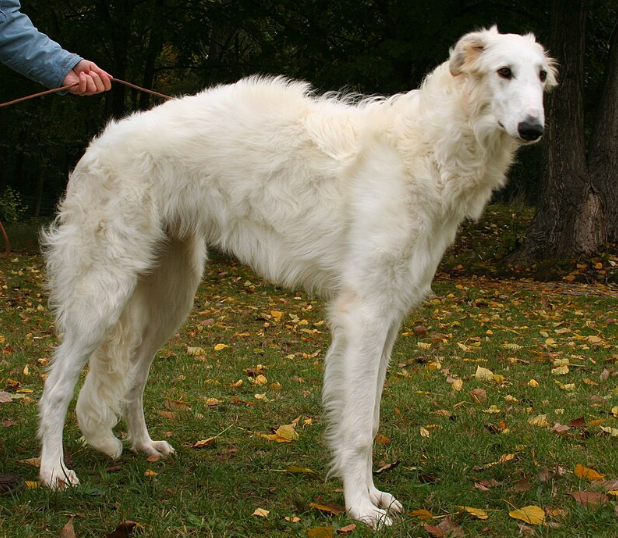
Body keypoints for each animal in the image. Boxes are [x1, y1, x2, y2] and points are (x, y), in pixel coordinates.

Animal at [41, 27, 556, 524]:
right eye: (503, 71)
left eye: (541, 76)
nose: (533, 129)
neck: (426, 149)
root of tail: (100, 143)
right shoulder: (363, 314)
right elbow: (356, 428)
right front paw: (360, 508)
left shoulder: (390, 314)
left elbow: (370, 418)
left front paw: (374, 495)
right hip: (102, 291)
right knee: (57, 385)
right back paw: (53, 473)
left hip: (172, 295)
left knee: (132, 378)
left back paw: (144, 446)